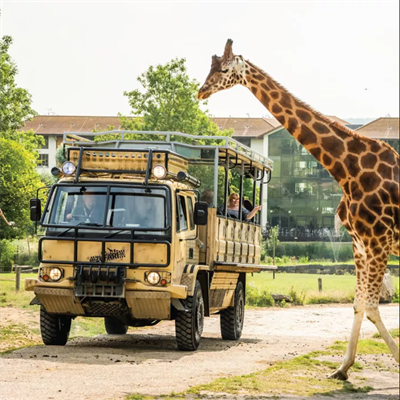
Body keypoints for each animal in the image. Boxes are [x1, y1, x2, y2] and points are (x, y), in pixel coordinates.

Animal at [198, 39, 398, 380]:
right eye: (210, 66)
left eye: (224, 69)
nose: (201, 91)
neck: (348, 169)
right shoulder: (360, 244)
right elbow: (360, 304)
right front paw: (342, 369)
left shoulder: (378, 241)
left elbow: (371, 306)